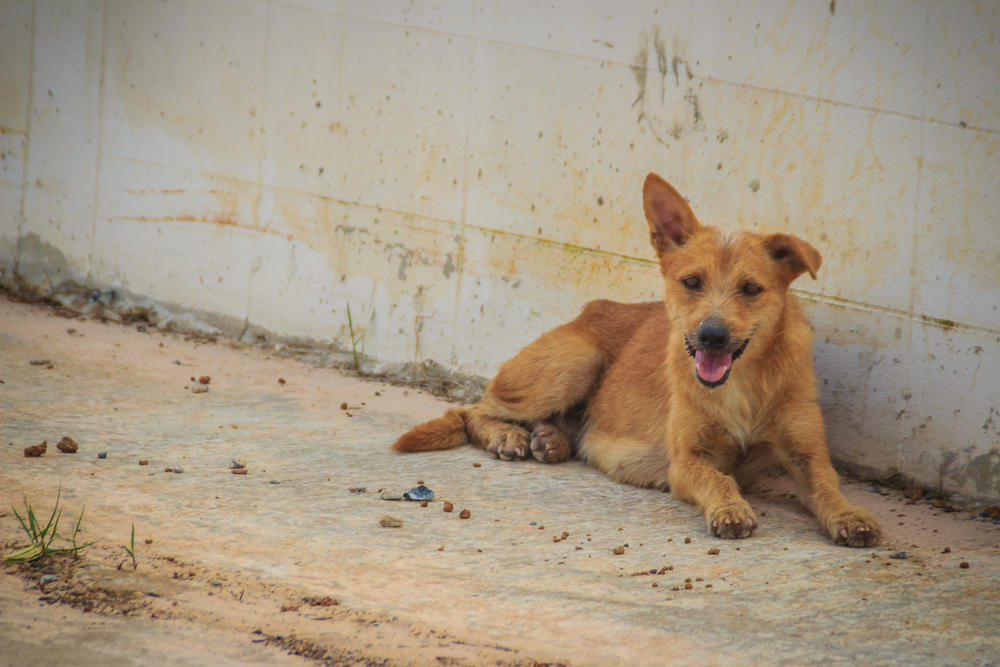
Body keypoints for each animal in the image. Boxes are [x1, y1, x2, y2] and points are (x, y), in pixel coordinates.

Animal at [394, 172, 880, 548]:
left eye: (750, 289)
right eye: (692, 281)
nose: (712, 336)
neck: (742, 382)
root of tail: (587, 312)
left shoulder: (807, 453)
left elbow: (827, 485)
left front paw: (850, 516)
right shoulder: (685, 461)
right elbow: (718, 478)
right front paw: (729, 508)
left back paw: (551, 440)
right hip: (576, 360)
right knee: (470, 410)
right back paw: (508, 436)